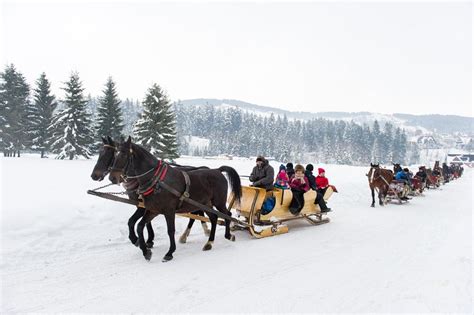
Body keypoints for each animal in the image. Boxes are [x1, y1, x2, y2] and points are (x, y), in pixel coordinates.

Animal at [109, 137, 243, 262]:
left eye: (124, 155)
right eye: (114, 154)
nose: (112, 178)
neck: (157, 181)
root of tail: (217, 170)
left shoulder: (169, 211)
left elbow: (170, 230)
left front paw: (169, 252)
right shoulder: (153, 210)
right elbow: (139, 226)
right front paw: (145, 251)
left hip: (218, 202)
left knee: (227, 214)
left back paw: (228, 235)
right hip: (206, 204)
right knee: (214, 218)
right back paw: (209, 242)